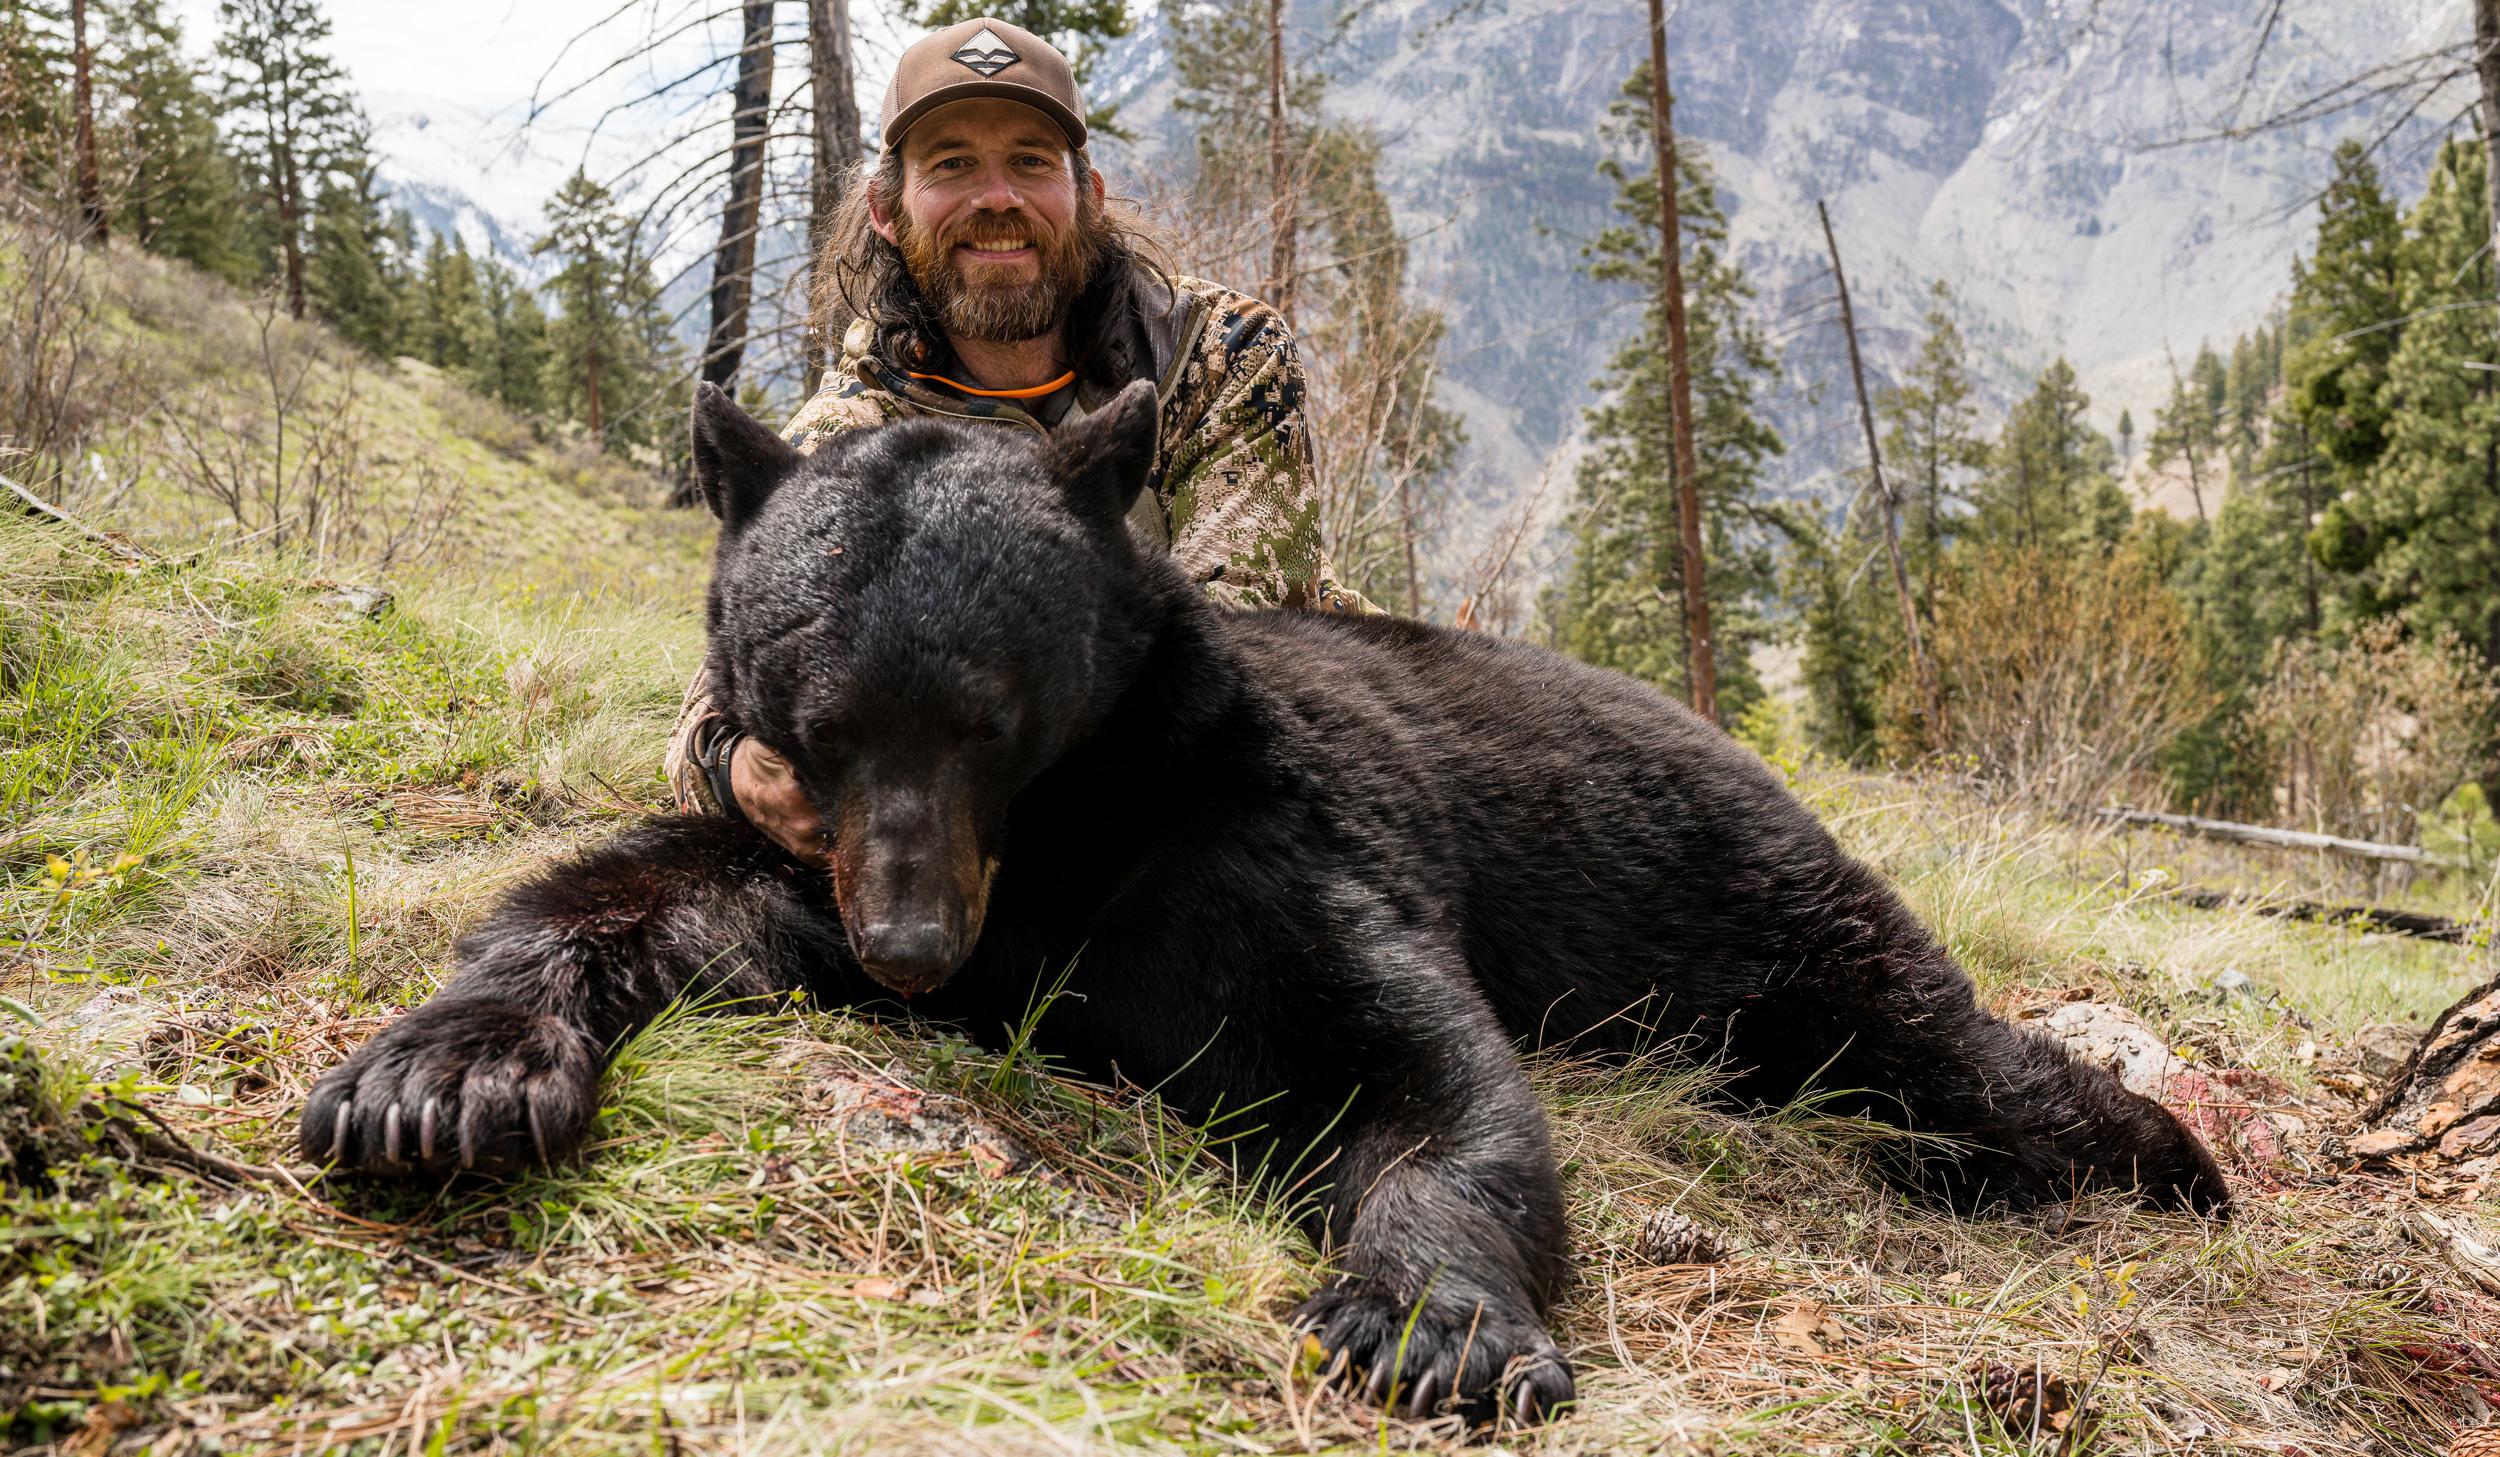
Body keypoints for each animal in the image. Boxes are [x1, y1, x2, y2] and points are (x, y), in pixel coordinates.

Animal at [301, 379, 2229, 1427]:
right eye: (816, 719)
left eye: (991, 711)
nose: (917, 954)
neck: (1056, 839)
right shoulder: (815, 854)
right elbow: (636, 897)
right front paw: (436, 1081)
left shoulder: (1254, 836)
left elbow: (1411, 1066)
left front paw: (1427, 1326)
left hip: (1753, 894)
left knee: (1941, 1045)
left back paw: (2170, 1159)